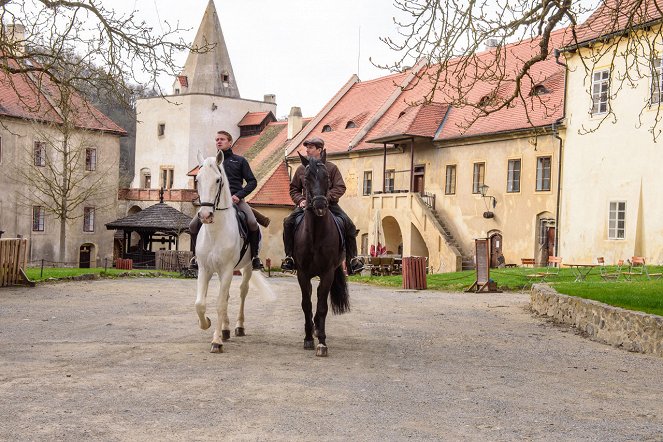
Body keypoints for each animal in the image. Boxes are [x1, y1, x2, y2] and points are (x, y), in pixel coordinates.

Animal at [195, 150, 272, 354]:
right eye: (197, 179)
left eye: (218, 180)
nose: (205, 215)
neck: (215, 232)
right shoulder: (205, 269)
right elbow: (200, 304)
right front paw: (207, 324)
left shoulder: (228, 270)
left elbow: (220, 304)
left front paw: (216, 341)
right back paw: (226, 329)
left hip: (246, 268)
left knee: (242, 292)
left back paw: (238, 327)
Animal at [294, 150, 350, 358]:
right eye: (306, 178)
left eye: (326, 177)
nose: (319, 204)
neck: (316, 234)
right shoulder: (302, 274)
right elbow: (306, 304)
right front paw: (308, 338)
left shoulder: (327, 273)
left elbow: (322, 306)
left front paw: (322, 342)